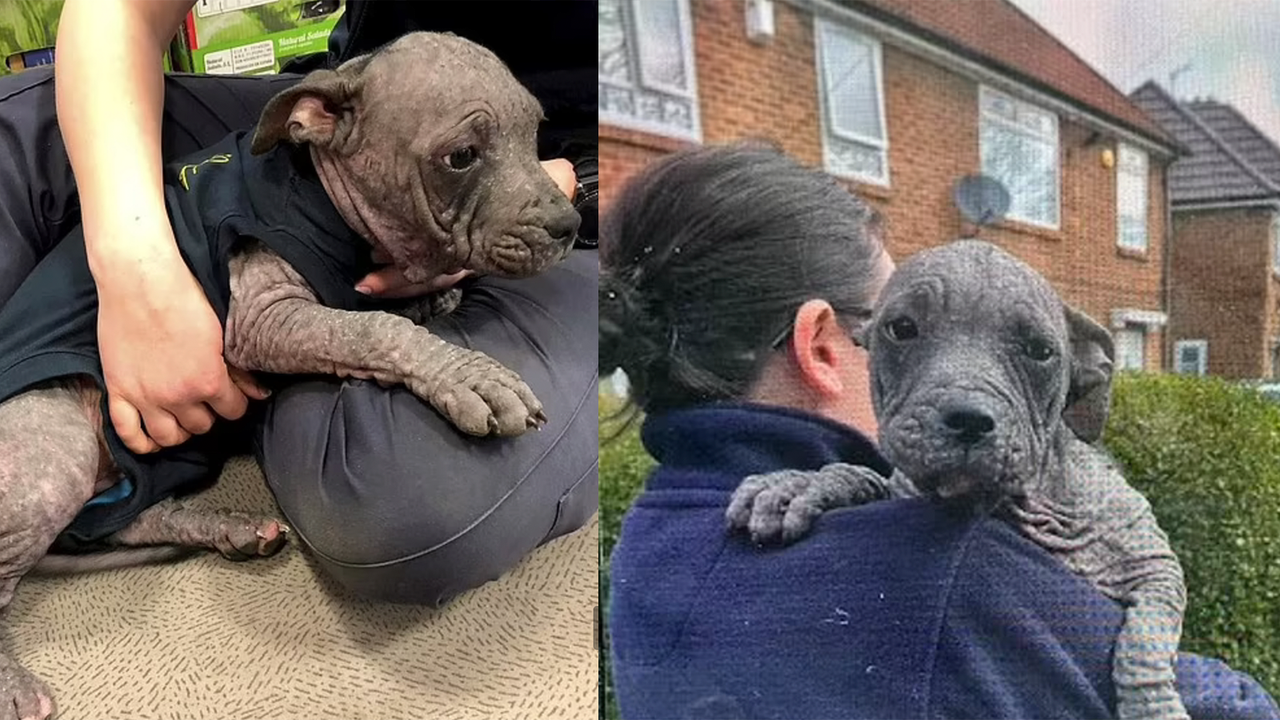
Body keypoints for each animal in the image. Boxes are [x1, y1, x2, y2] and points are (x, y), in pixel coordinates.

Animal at [732, 240, 1187, 717]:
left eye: (1040, 351)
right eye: (902, 328)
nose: (969, 418)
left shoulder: (1153, 565)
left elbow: (1143, 642)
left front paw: (1154, 706)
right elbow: (865, 476)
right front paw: (800, 484)